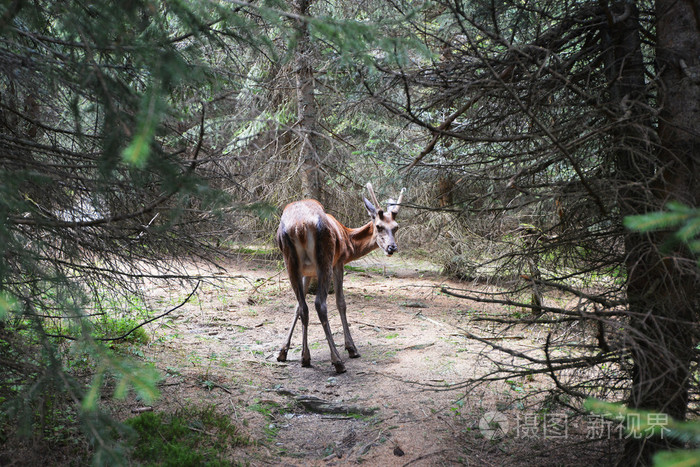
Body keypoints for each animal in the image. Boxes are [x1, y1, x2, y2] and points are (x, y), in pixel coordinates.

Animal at [274, 183, 404, 372]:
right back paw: (337, 360)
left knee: (304, 307)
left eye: (396, 227)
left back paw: (305, 357)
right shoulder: (339, 262)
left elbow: (297, 308)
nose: (391, 247)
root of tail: (300, 226)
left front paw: (283, 351)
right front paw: (351, 348)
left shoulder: (307, 273)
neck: (348, 241)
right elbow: (341, 302)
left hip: (290, 263)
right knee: (320, 304)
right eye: (379, 226)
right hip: (325, 259)